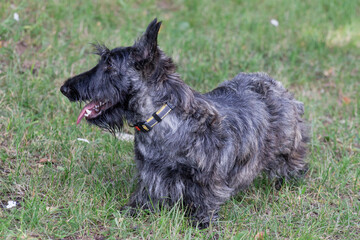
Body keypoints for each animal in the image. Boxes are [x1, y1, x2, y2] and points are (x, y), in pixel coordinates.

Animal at [60, 17, 308, 228]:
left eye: (109, 66)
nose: (65, 88)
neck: (160, 120)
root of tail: (274, 84)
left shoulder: (206, 179)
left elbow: (206, 199)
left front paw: (202, 222)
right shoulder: (150, 175)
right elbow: (145, 195)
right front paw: (132, 211)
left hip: (290, 147)